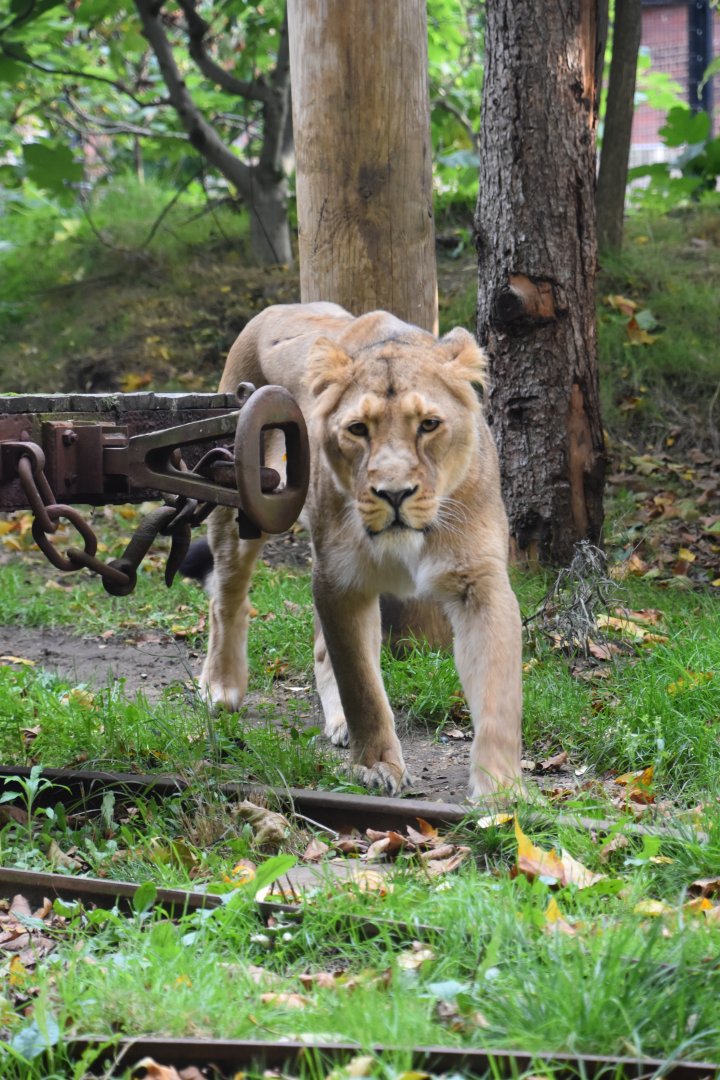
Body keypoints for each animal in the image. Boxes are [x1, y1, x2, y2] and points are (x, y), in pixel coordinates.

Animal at [199, 302, 523, 798]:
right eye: (357, 429)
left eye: (428, 424)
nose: (394, 493)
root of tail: (277, 308)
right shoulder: (342, 581)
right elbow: (362, 685)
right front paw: (377, 766)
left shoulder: (479, 583)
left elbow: (497, 695)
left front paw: (502, 790)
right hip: (238, 509)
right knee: (226, 596)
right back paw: (221, 686)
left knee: (317, 646)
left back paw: (336, 722)